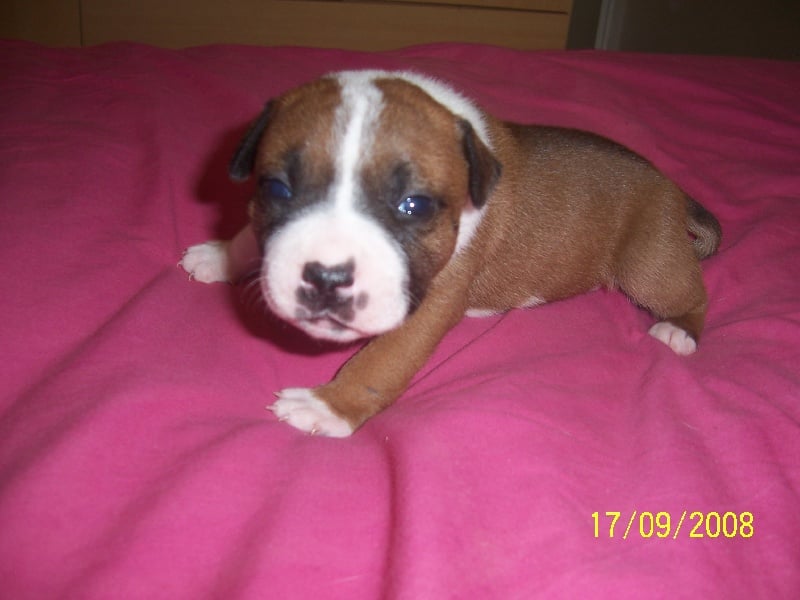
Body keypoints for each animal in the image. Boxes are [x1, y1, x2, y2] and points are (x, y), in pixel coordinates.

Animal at [181, 70, 721, 437]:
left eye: (414, 205)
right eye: (277, 189)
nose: (326, 278)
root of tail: (670, 186)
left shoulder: (429, 307)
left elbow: (379, 362)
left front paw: (328, 405)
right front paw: (221, 254)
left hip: (649, 265)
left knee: (692, 295)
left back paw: (679, 330)